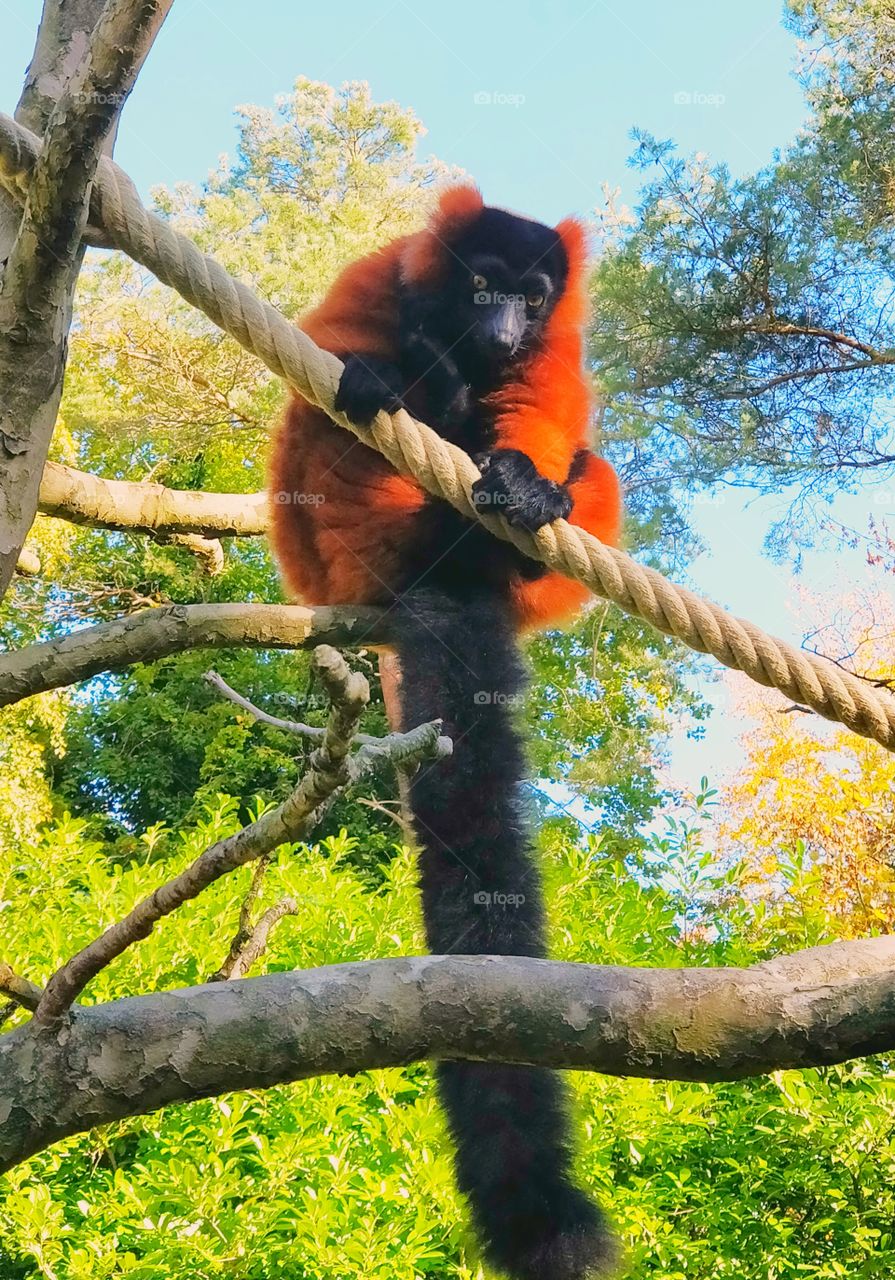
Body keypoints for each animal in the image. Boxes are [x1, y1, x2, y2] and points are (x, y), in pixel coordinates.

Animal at [269, 185, 622, 1280]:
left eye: (533, 298)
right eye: (483, 286)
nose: (502, 332)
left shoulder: (556, 344)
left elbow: (547, 411)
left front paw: (522, 467)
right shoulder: (382, 274)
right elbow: (340, 339)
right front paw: (411, 362)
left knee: (580, 465)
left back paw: (520, 502)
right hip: (337, 542)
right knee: (330, 422)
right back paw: (418, 384)